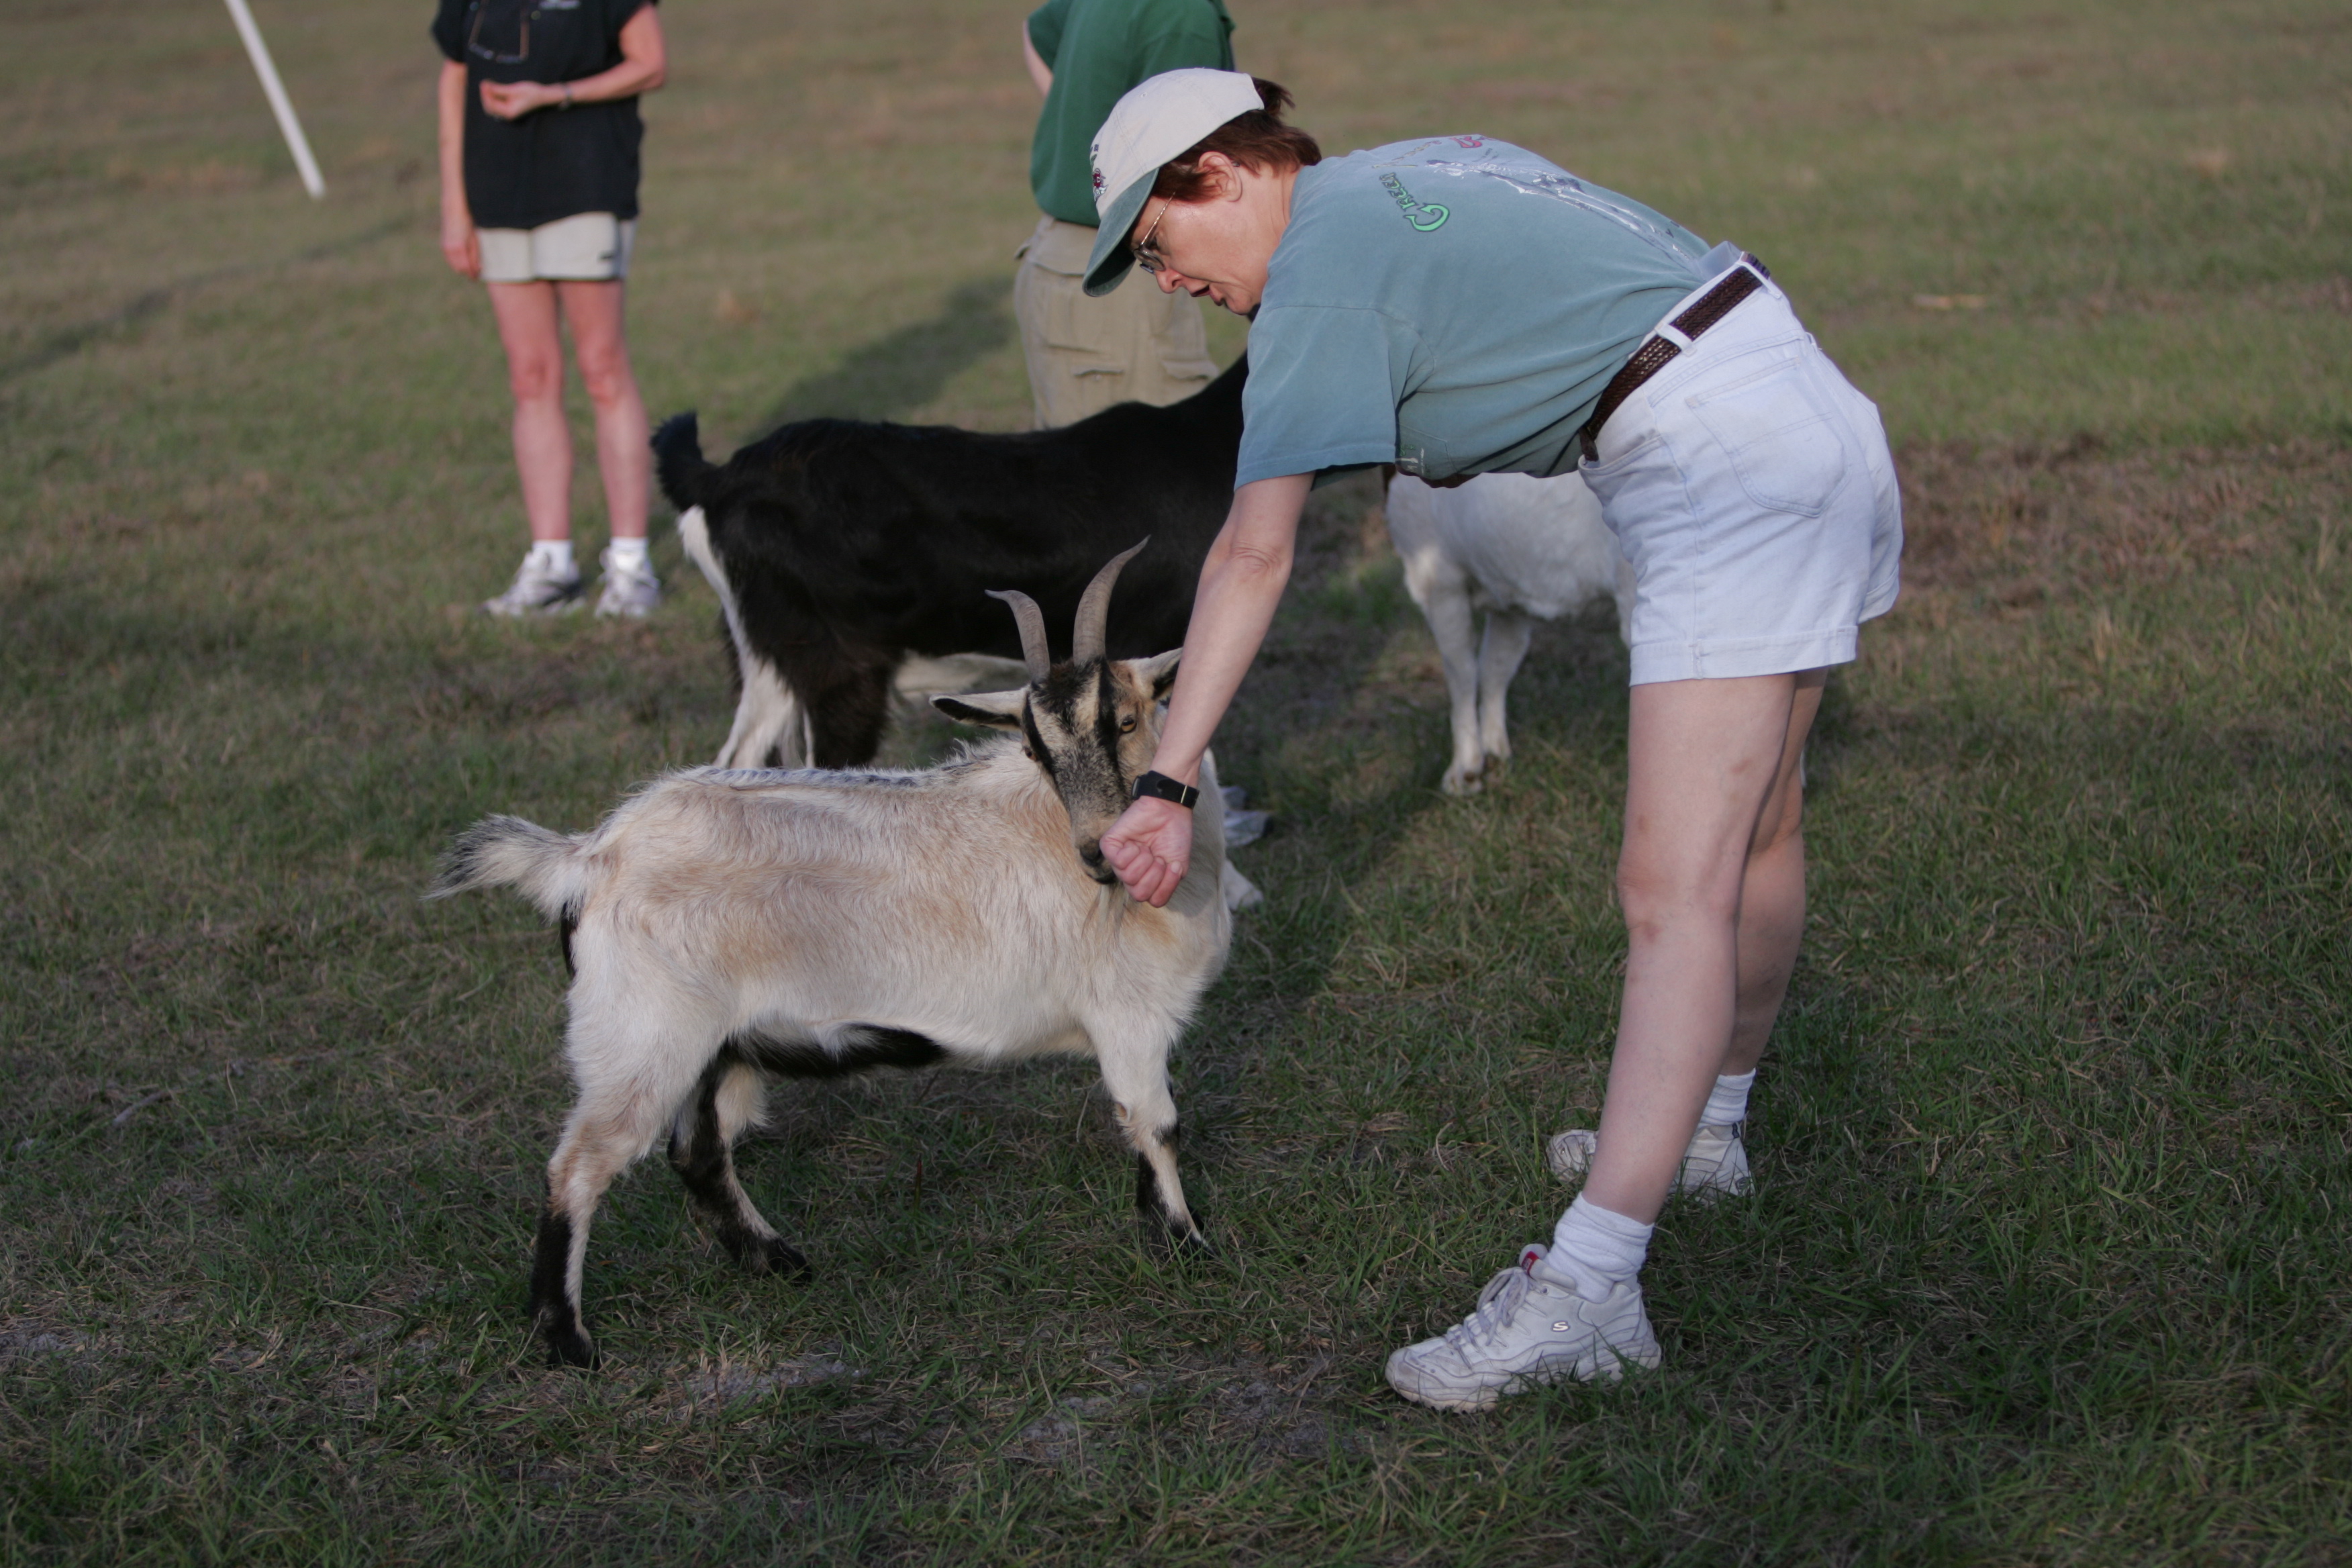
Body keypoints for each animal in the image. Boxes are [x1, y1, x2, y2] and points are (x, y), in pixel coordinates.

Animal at [429, 544, 1234, 1368]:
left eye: (1127, 719)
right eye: (1034, 748)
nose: (1100, 852)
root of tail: (588, 856)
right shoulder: (1128, 1016)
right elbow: (1157, 1125)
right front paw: (1189, 1246)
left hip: (711, 1043)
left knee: (696, 1151)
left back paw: (775, 1260)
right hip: (639, 1036)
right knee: (580, 1165)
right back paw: (569, 1339)